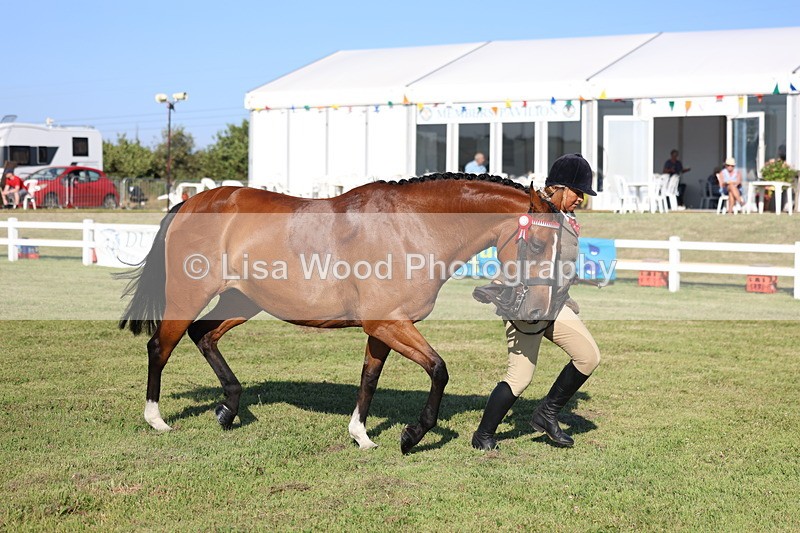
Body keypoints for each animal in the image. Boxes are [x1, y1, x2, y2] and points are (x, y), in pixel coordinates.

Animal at [118, 173, 563, 453]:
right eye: (537, 244)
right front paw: (412, 435)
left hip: (244, 300)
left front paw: (362, 436)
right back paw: (156, 419)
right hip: (188, 295)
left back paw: (228, 409)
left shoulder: (384, 327)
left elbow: (369, 379)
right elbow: (438, 369)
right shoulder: (387, 322)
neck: (413, 227)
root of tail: (190, 202)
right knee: (161, 346)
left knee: (203, 334)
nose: (537, 310)